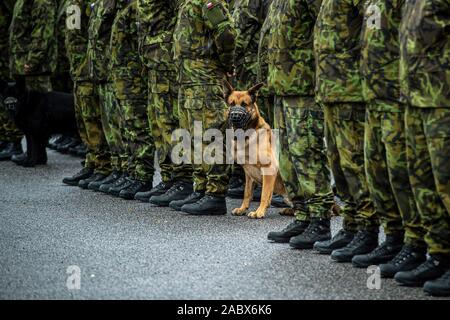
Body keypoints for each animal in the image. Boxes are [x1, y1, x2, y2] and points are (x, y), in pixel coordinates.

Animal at [224, 81, 288, 219]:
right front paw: (242, 209)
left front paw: (260, 211)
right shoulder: (248, 174)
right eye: (231, 104)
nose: (235, 116)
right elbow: (247, 193)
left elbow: (264, 194)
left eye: (244, 104)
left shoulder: (269, 169)